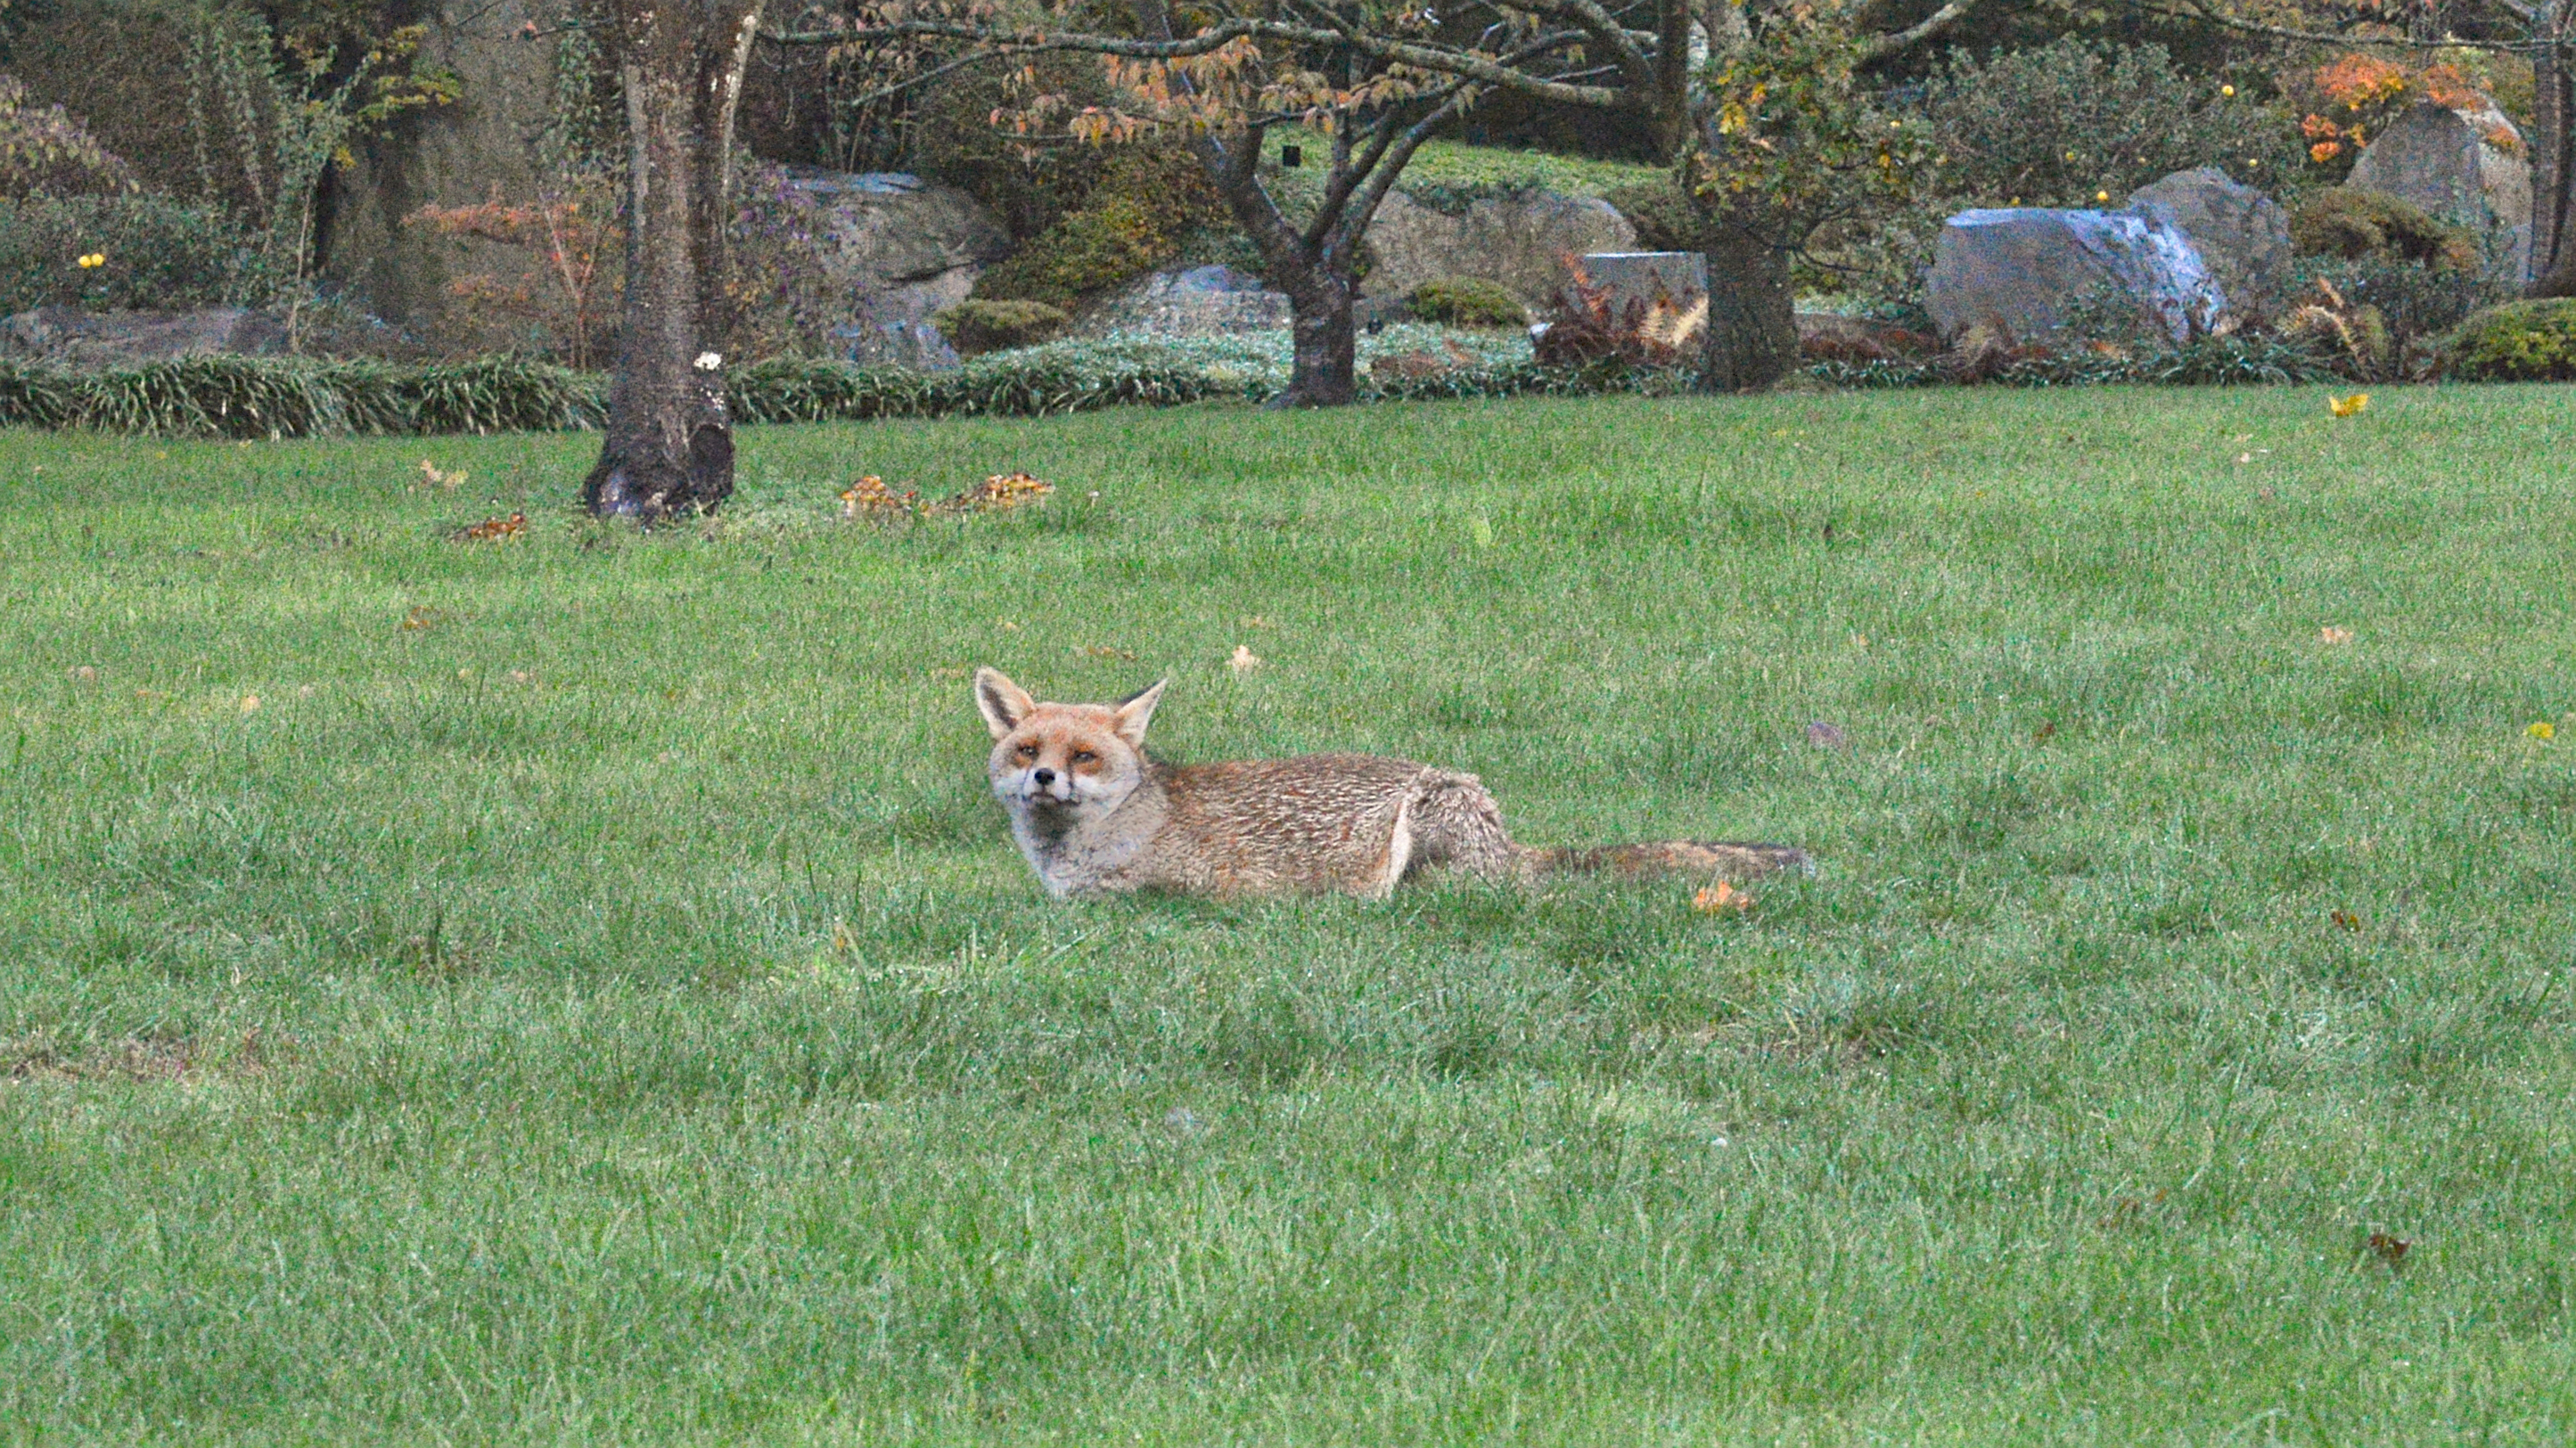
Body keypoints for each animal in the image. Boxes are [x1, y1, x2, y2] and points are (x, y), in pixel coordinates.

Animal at [974, 667, 1810, 900]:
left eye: (1084, 756)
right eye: (1027, 749)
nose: (1044, 776)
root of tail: (1510, 843)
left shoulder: (1182, 891)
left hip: (1426, 818)